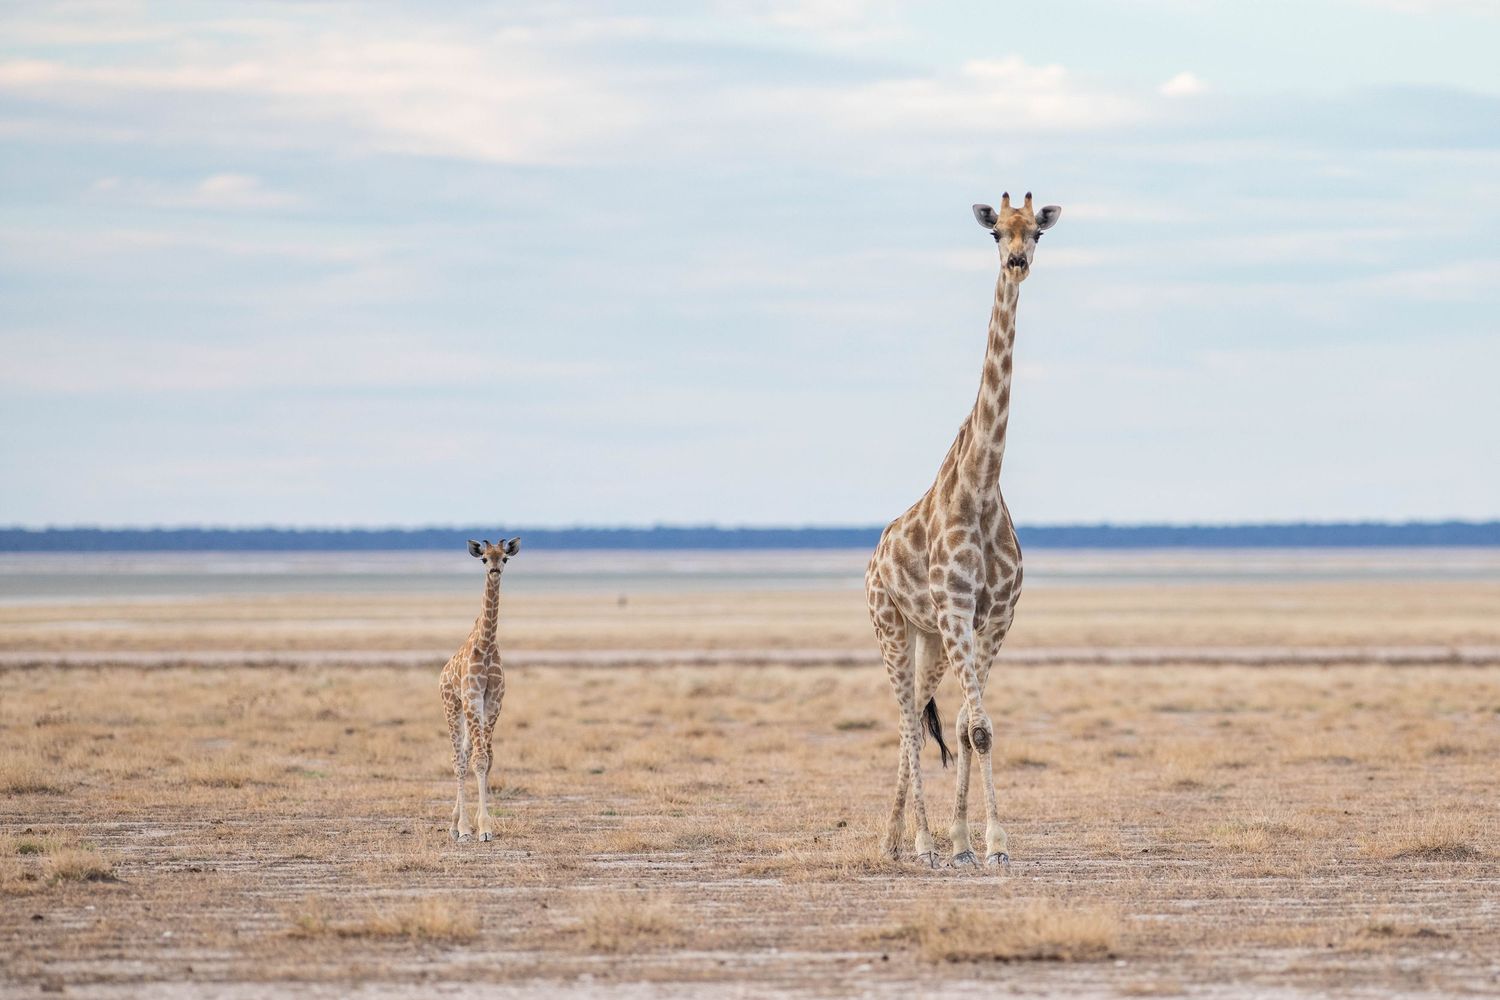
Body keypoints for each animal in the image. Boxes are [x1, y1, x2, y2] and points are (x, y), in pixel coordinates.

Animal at [440, 535, 521, 842]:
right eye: (485, 558)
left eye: (504, 558)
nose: (495, 571)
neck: (485, 645)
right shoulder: (472, 697)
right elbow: (476, 760)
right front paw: (475, 828)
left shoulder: (493, 701)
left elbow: (487, 757)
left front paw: (484, 825)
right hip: (452, 706)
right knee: (458, 759)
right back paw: (459, 828)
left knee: (466, 753)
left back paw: (455, 823)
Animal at [865, 192, 1061, 869]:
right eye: (996, 232)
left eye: (1038, 232)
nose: (1018, 261)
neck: (979, 485)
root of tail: (873, 558)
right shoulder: (954, 608)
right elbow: (971, 726)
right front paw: (975, 842)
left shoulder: (992, 617)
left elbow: (970, 727)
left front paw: (972, 842)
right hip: (891, 624)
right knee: (903, 719)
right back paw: (915, 842)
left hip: (926, 636)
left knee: (918, 720)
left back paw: (895, 837)